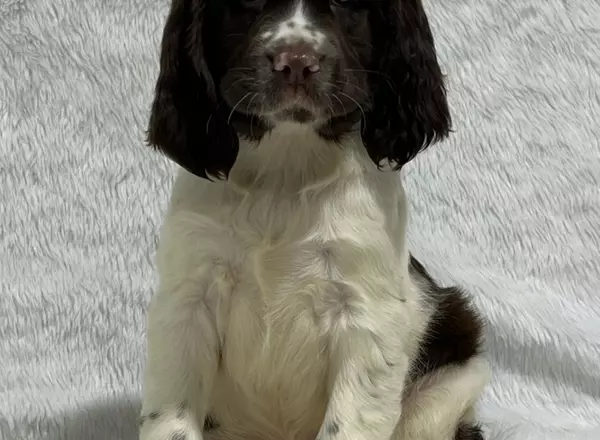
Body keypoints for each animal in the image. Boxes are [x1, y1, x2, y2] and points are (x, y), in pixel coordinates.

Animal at [139, 0, 488, 440]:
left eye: (350, 6)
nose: (296, 63)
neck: (287, 173)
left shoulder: (367, 312)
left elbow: (348, 423)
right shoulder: (187, 298)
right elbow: (171, 419)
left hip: (445, 384)